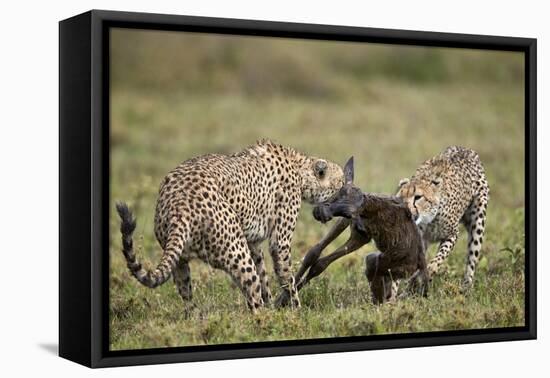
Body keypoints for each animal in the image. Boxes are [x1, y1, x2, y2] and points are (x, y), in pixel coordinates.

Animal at [116, 140, 344, 312]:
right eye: (341, 182)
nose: (346, 188)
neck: (299, 167)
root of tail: (179, 203)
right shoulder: (278, 242)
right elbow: (286, 276)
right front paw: (295, 311)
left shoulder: (253, 242)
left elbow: (263, 274)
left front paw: (273, 303)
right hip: (236, 251)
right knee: (253, 300)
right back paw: (264, 321)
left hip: (180, 258)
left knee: (186, 293)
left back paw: (196, 319)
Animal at [396, 146, 492, 288]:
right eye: (401, 199)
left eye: (418, 197)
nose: (406, 211)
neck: (428, 219)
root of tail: (463, 148)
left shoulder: (452, 234)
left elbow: (438, 259)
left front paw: (426, 275)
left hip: (478, 220)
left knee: (472, 255)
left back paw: (466, 285)